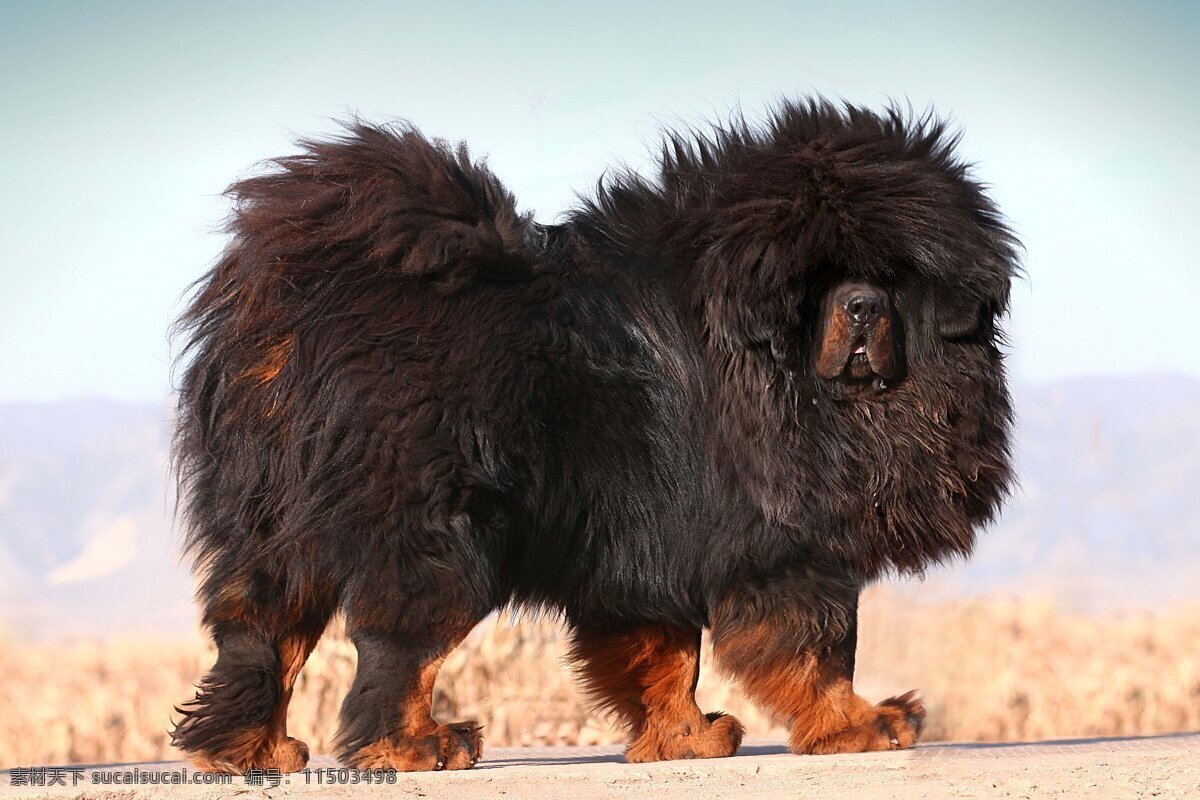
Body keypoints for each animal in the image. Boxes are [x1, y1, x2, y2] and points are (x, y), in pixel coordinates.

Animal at [169, 97, 1012, 772]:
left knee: (261, 634)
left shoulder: (648, 544)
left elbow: (664, 656)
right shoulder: (782, 544)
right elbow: (822, 645)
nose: (863, 307)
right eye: (821, 281)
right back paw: (416, 746)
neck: (780, 370)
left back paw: (248, 751)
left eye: (895, 275)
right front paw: (864, 724)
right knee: (396, 649)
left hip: (272, 524)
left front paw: (685, 739)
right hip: (440, 536)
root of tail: (302, 305)